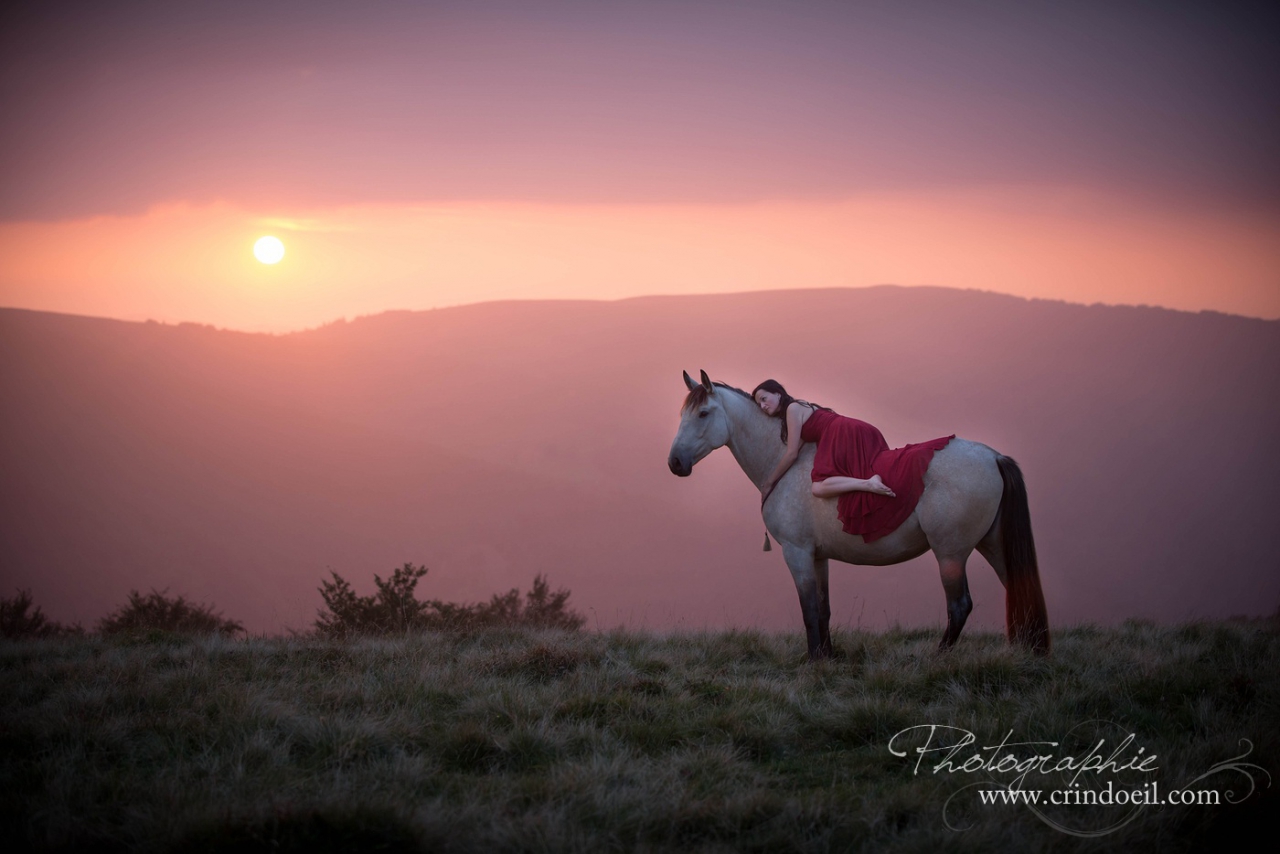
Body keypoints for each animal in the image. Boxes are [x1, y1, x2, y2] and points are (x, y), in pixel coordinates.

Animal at [667, 370, 1049, 659]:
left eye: (703, 414)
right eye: (682, 414)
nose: (675, 463)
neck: (787, 460)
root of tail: (994, 457)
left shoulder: (797, 553)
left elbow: (808, 609)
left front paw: (814, 661)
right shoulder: (818, 556)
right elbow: (823, 607)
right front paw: (828, 656)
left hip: (951, 554)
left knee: (959, 606)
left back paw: (939, 657)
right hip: (994, 545)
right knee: (1019, 588)